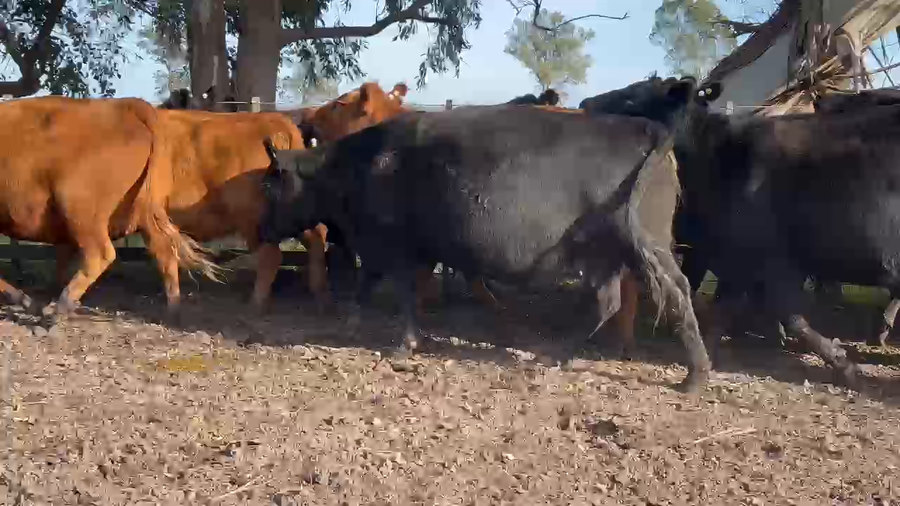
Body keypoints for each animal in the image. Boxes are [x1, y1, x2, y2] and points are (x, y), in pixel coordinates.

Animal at [0, 96, 223, 326]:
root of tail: (128, 105)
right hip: (146, 211)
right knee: (164, 251)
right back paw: (173, 312)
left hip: (80, 212)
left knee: (100, 254)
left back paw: (60, 308)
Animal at [257, 104, 713, 393]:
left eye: (268, 185)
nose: (260, 230)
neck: (363, 164)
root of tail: (647, 128)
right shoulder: (409, 248)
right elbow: (378, 286)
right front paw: (356, 325)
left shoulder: (394, 244)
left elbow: (395, 289)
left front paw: (400, 341)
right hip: (607, 253)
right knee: (609, 301)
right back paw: (559, 355)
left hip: (645, 244)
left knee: (675, 291)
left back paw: (694, 378)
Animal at [580, 74, 900, 386]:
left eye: (632, 97)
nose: (586, 103)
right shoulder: (736, 259)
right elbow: (726, 308)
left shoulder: (762, 258)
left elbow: (788, 314)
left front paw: (843, 365)